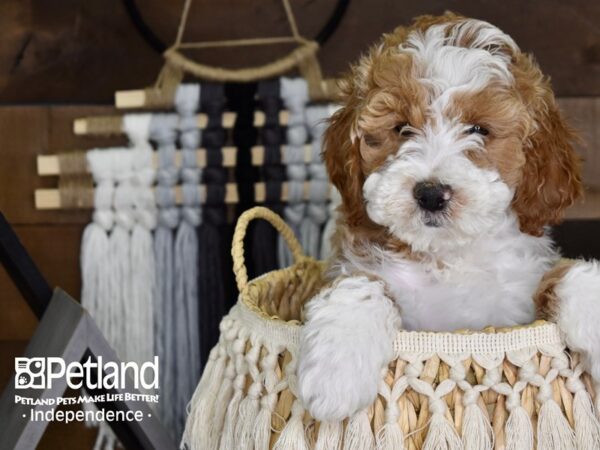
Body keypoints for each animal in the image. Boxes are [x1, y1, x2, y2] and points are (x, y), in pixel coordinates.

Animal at [296, 14, 600, 422]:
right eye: (402, 128)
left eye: (479, 130)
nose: (430, 194)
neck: (446, 253)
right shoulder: (355, 265)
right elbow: (360, 286)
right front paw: (337, 373)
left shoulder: (520, 294)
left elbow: (568, 273)